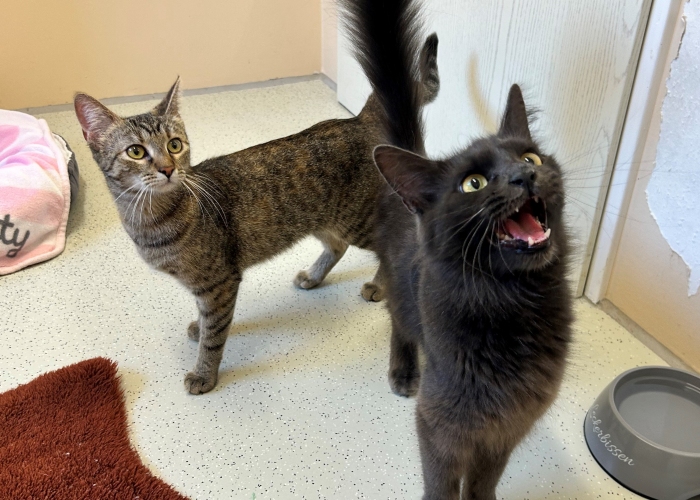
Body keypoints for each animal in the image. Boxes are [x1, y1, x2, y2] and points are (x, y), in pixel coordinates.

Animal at [74, 47, 440, 398]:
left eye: (174, 145)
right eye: (136, 151)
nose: (167, 168)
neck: (151, 219)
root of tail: (357, 120)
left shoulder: (220, 282)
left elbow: (214, 336)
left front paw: (204, 373)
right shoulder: (203, 285)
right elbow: (205, 318)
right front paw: (198, 326)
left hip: (356, 219)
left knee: (393, 248)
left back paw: (380, 286)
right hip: (322, 219)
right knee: (338, 246)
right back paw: (314, 276)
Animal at [344, 0, 576, 498]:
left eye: (530, 157)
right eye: (473, 184)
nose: (524, 176)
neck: (515, 305)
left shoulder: (508, 425)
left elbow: (484, 480)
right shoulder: (441, 423)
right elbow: (443, 482)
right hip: (402, 288)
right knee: (399, 321)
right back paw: (403, 370)